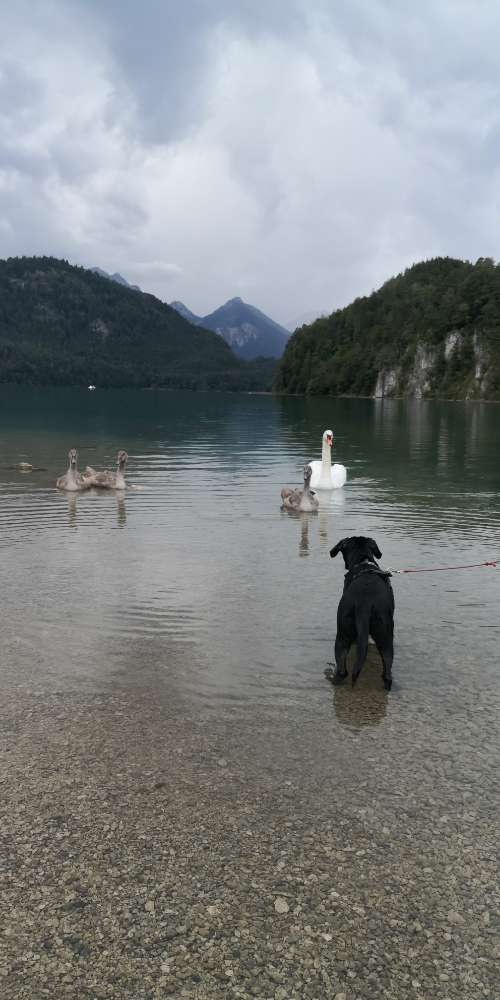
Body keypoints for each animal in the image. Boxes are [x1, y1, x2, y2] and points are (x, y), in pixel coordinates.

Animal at [328, 536, 394, 692]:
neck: (363, 562)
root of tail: (365, 604)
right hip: (385, 636)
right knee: (387, 673)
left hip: (342, 634)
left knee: (343, 671)